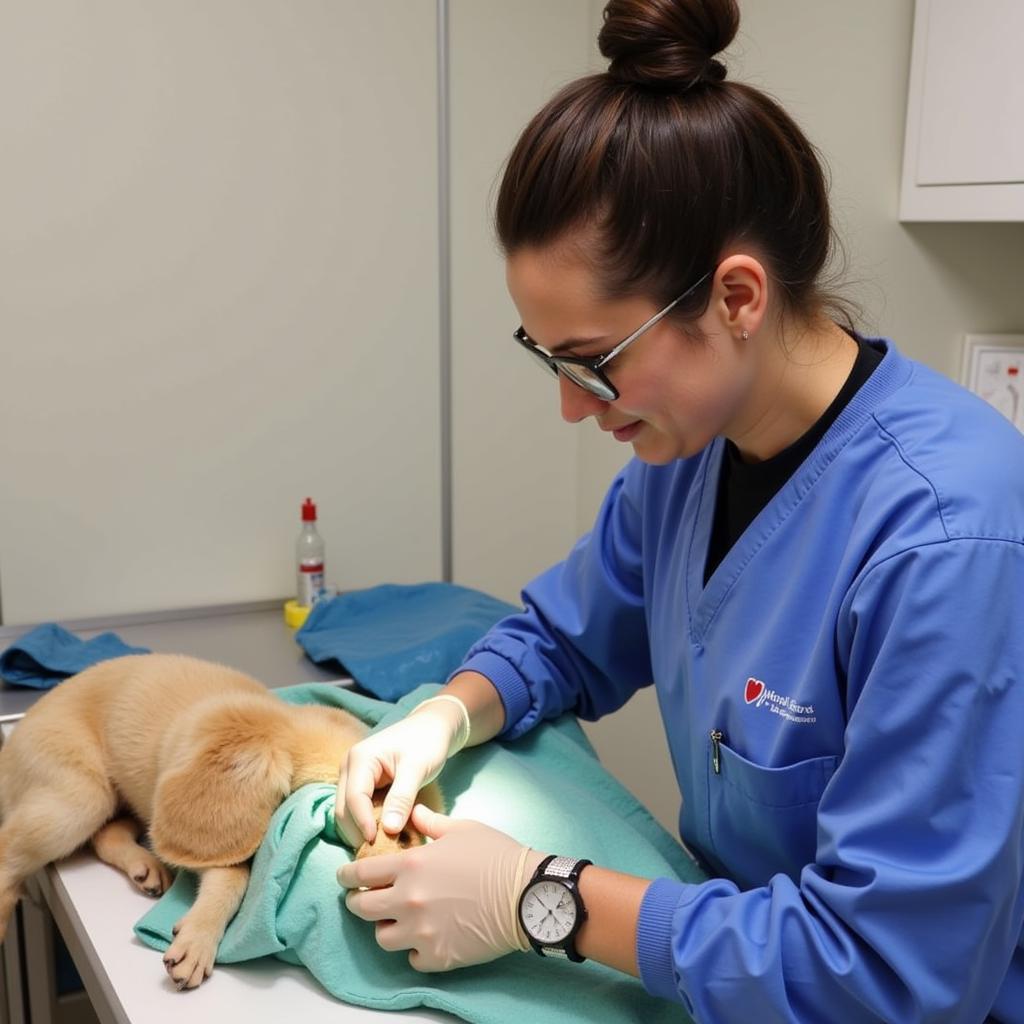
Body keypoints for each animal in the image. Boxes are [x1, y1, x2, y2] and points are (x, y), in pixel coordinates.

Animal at [0, 651, 436, 987]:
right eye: (367, 795)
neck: (279, 725)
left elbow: (230, 874)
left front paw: (196, 936)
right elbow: (233, 874)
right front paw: (194, 941)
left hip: (123, 802)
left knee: (107, 835)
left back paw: (145, 867)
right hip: (80, 797)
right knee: (12, 852)